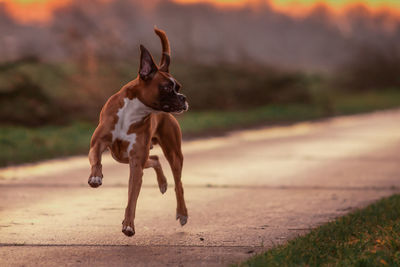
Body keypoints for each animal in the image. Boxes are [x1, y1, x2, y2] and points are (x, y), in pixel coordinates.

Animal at [87, 27, 188, 237]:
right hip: (121, 156)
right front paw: (95, 177)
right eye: (167, 88)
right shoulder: (98, 144)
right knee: (155, 159)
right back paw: (162, 183)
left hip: (173, 155)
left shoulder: (135, 163)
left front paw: (128, 225)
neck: (134, 111)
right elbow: (96, 159)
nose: (183, 98)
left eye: (179, 88)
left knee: (178, 184)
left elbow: (132, 198)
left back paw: (182, 212)